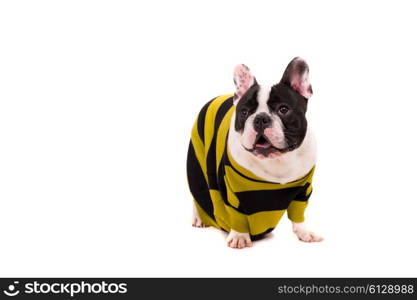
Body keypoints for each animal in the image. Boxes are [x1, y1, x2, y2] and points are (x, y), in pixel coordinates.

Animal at [187, 56, 324, 248]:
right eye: (244, 112)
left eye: (283, 109)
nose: (260, 119)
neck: (277, 161)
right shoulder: (232, 191)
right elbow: (236, 213)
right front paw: (239, 236)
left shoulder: (303, 190)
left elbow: (299, 214)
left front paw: (304, 232)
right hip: (197, 160)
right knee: (197, 192)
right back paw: (199, 217)